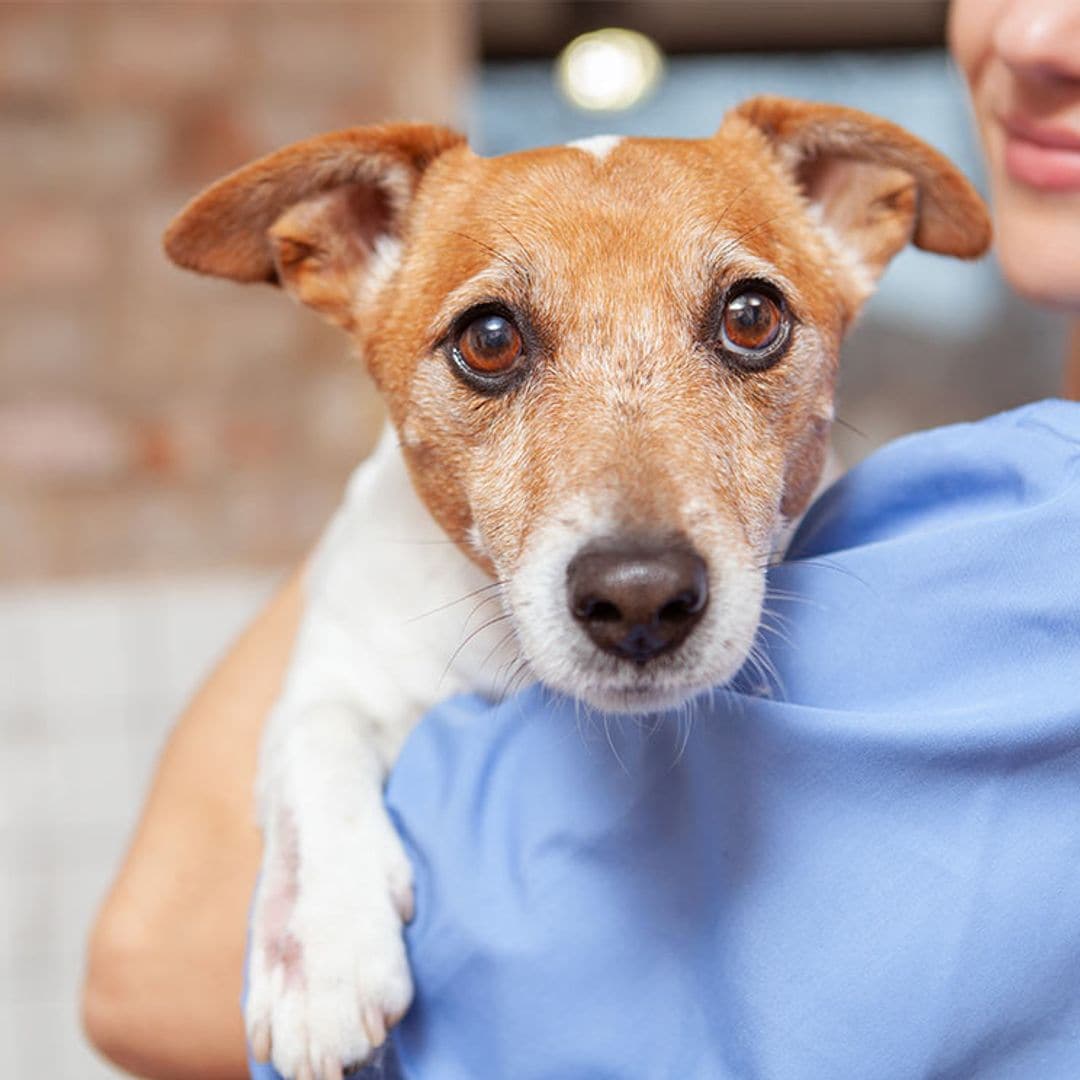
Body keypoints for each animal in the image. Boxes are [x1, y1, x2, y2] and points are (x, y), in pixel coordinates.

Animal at [166, 97, 989, 1075]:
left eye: (752, 317)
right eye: (488, 338)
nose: (639, 598)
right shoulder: (335, 670)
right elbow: (315, 754)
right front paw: (322, 953)